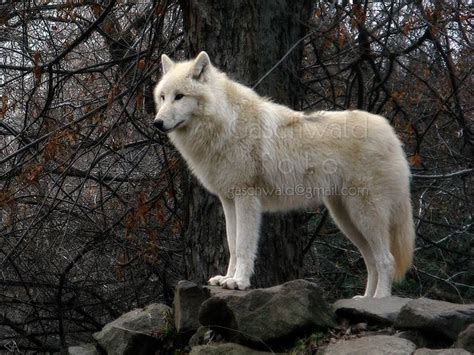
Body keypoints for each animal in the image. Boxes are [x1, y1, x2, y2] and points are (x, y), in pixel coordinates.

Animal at [153, 51, 414, 298]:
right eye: (163, 97)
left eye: (180, 96)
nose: (157, 123)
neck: (227, 123)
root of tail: (391, 134)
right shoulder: (228, 200)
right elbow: (233, 245)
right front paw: (226, 278)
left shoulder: (246, 197)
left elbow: (244, 246)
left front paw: (239, 282)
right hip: (347, 219)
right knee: (371, 261)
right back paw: (365, 299)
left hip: (365, 215)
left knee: (386, 260)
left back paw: (380, 299)